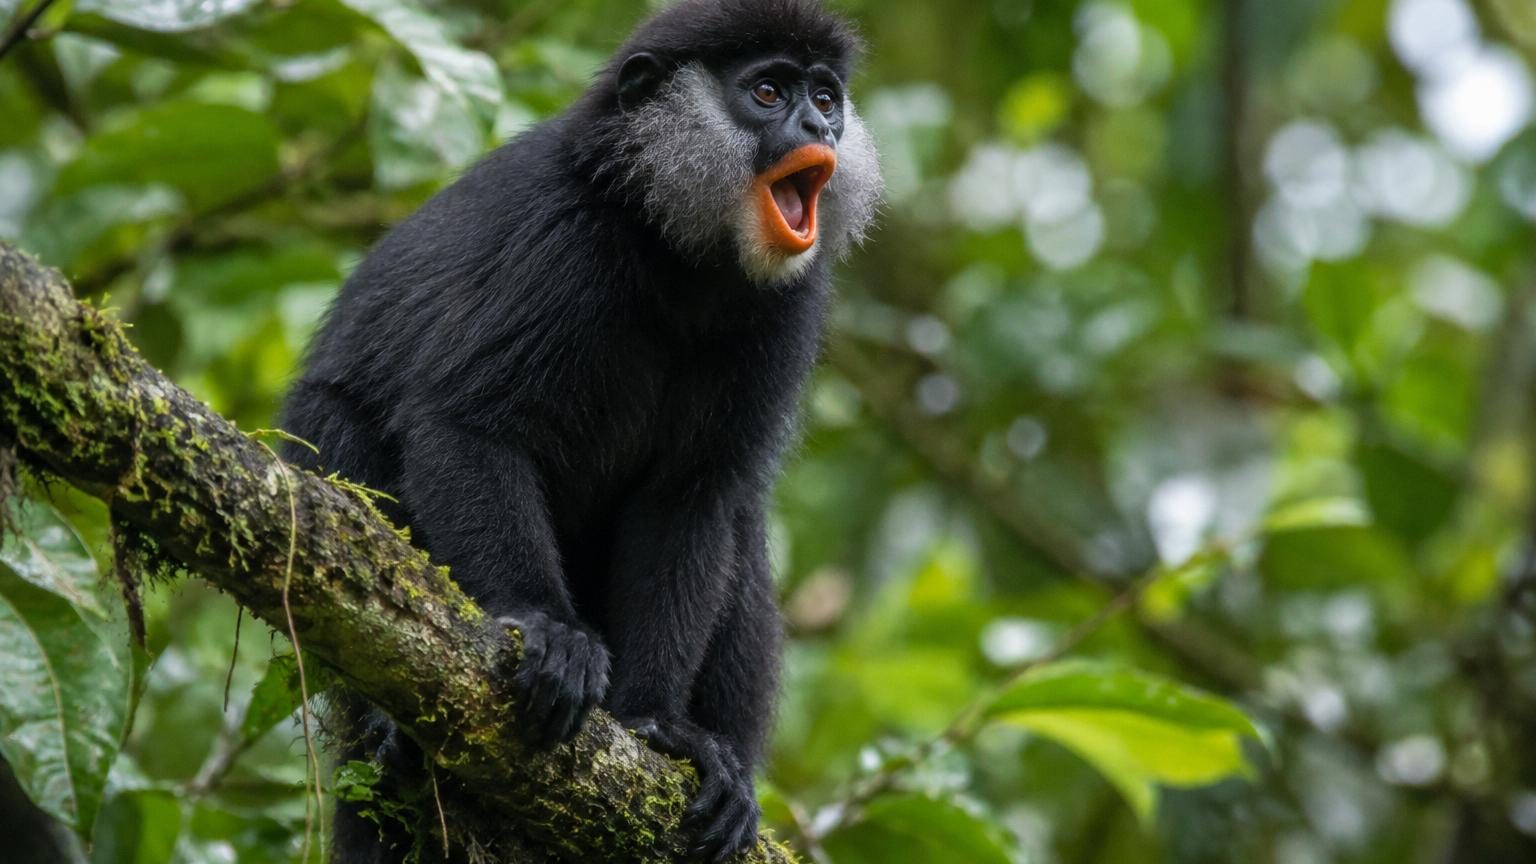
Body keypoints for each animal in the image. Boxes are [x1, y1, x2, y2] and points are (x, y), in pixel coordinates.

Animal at [277, 0, 881, 860]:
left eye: (826, 97)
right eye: (768, 92)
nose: (818, 127)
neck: (674, 253)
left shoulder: (789, 304)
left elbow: (692, 499)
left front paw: (662, 727)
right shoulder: (559, 238)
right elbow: (467, 427)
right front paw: (549, 632)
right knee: (343, 429)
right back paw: (393, 741)